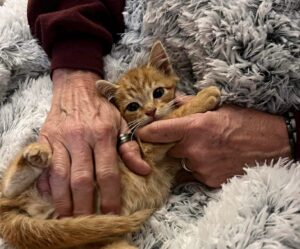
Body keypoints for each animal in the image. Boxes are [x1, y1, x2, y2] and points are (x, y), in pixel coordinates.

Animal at [0, 41, 220, 248]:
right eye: (133, 106)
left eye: (158, 92)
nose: (151, 111)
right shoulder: (146, 147)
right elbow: (174, 116)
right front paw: (202, 98)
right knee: (8, 189)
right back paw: (34, 158)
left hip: (90, 235)